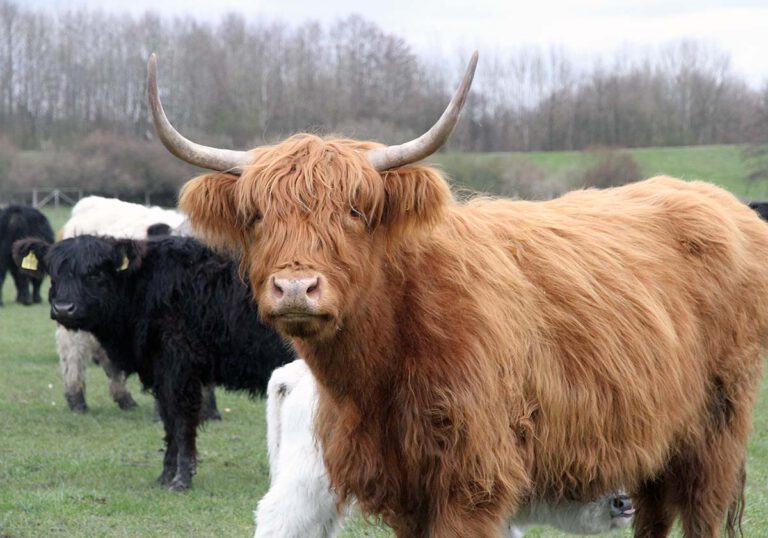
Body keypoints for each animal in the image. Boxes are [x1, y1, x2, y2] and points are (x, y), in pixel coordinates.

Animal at [15, 232, 296, 488]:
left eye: (95, 274)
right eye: (54, 274)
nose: (64, 308)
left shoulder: (179, 368)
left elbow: (181, 421)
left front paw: (181, 479)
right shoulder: (159, 372)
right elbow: (167, 420)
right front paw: (165, 475)